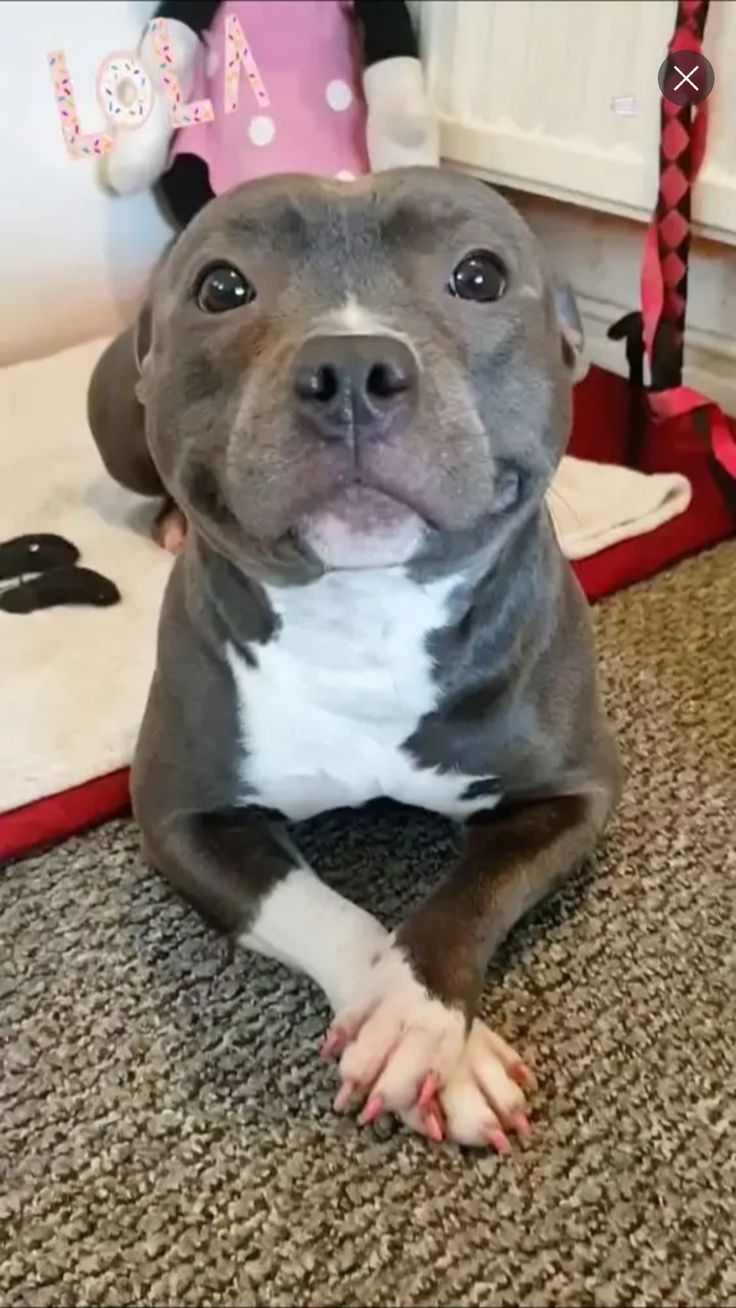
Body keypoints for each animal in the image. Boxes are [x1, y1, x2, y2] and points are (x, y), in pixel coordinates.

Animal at [89, 168, 624, 1151]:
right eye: (222, 287)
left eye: (480, 275)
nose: (348, 372)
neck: (364, 616)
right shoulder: (179, 814)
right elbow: (310, 903)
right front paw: (404, 1022)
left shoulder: (573, 792)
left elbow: (472, 892)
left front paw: (419, 1018)